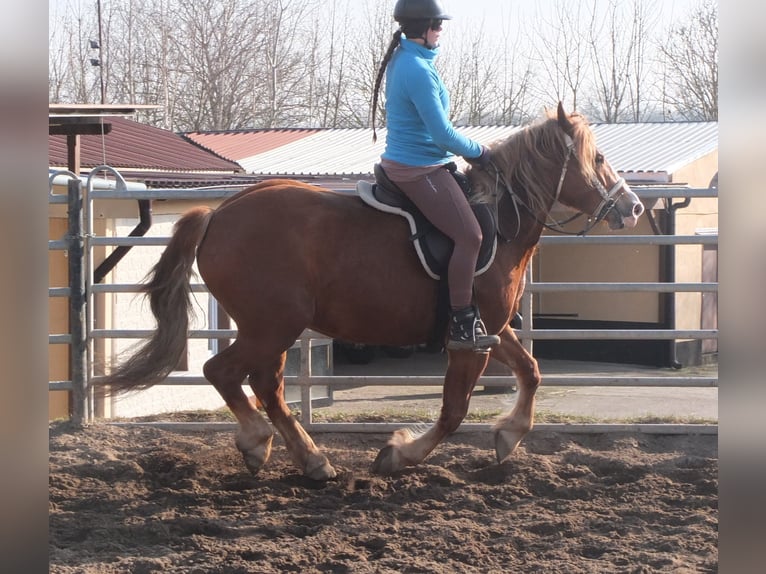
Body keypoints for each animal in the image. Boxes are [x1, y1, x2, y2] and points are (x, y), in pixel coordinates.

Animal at [100, 104, 640, 482]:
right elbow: (453, 411)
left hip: (272, 330)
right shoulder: (468, 341)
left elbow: (530, 370)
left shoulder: (492, 328)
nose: (632, 207)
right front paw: (400, 453)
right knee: (224, 373)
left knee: (266, 385)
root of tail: (219, 213)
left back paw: (311, 460)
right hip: (271, 326)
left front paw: (508, 436)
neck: (498, 218)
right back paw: (259, 443)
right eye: (599, 158)